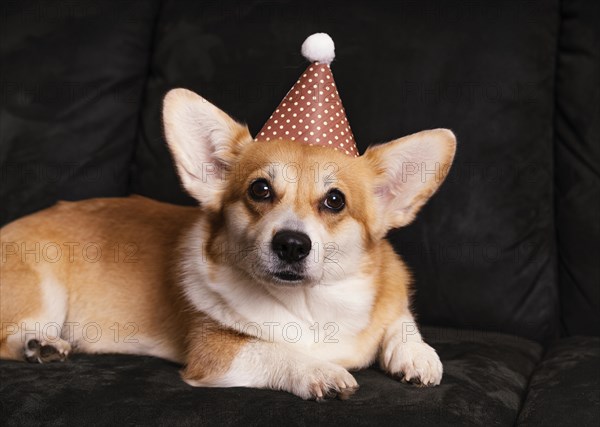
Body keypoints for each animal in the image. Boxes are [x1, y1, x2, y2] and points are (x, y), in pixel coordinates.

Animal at [0, 88, 454, 402]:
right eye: (260, 189)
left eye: (335, 200)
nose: (292, 244)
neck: (313, 303)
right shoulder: (216, 351)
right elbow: (274, 351)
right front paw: (319, 371)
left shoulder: (391, 300)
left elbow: (401, 320)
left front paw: (417, 355)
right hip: (45, 290)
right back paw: (38, 344)